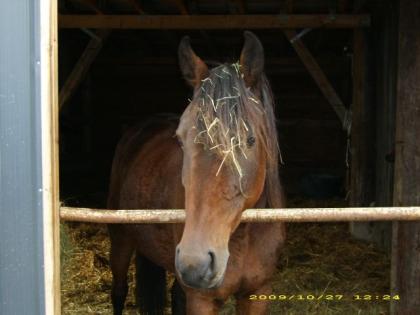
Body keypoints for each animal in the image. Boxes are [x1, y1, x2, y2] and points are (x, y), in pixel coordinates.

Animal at [106, 30, 288, 315]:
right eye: (181, 140)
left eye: (249, 140)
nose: (196, 263)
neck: (243, 237)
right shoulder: (201, 299)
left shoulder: (257, 293)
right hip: (121, 238)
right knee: (119, 290)